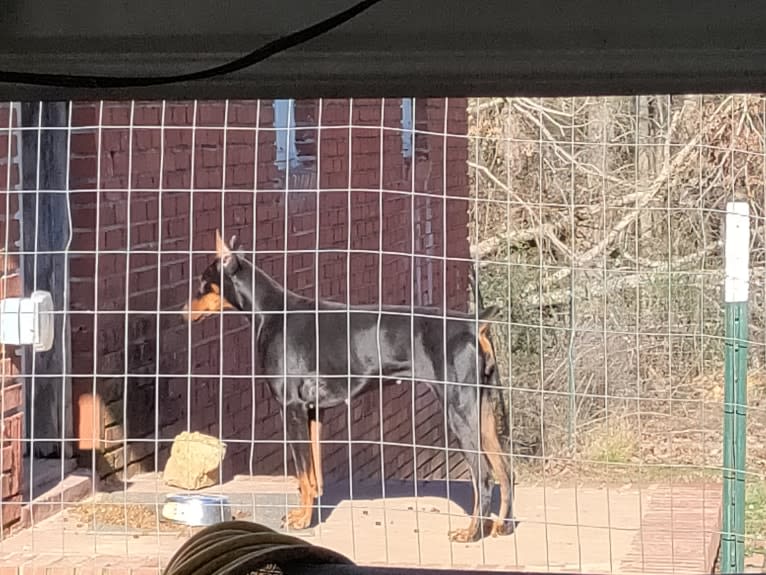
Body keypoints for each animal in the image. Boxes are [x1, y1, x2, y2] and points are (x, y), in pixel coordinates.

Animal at [183, 231, 512, 544]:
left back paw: (471, 532)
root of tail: (473, 323)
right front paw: (307, 513)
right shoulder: (313, 413)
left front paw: (302, 521)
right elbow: (311, 475)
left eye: (202, 282)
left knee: (484, 475)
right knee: (504, 470)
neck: (272, 311)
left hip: (458, 409)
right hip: (481, 411)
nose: (183, 310)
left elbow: (301, 472)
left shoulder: (291, 408)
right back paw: (502, 526)